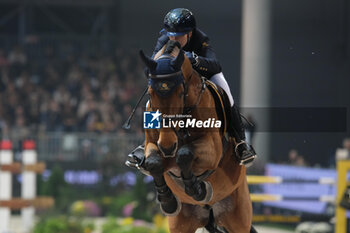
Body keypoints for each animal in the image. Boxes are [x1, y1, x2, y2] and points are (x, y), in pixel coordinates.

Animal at [139, 40, 254, 233]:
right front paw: (168, 202)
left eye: (180, 92)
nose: (168, 146)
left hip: (239, 219)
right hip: (182, 225)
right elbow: (154, 163)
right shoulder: (153, 145)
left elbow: (185, 154)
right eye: (150, 93)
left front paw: (199, 189)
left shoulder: (213, 151)